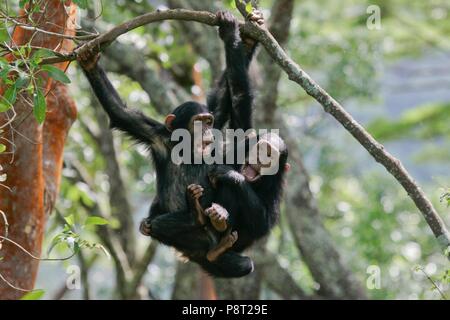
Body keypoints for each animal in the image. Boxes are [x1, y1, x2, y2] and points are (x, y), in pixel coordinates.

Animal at [79, 10, 264, 278]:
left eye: (208, 121)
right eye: (198, 121)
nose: (206, 130)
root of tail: (193, 255)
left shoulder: (217, 132)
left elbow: (223, 102)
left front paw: (244, 38)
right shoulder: (154, 135)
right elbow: (120, 112)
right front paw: (90, 63)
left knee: (244, 263)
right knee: (152, 226)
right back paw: (195, 219)